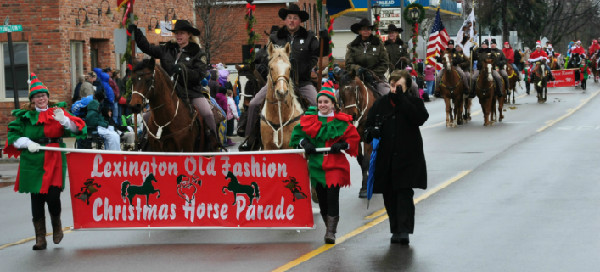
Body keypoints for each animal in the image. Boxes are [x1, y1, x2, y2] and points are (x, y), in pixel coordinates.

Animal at [338, 69, 376, 197]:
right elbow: (361, 160)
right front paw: (365, 184)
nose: (352, 115)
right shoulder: (356, 140)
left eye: (355, 89)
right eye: (340, 92)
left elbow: (365, 162)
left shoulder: (368, 139)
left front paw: (364, 189)